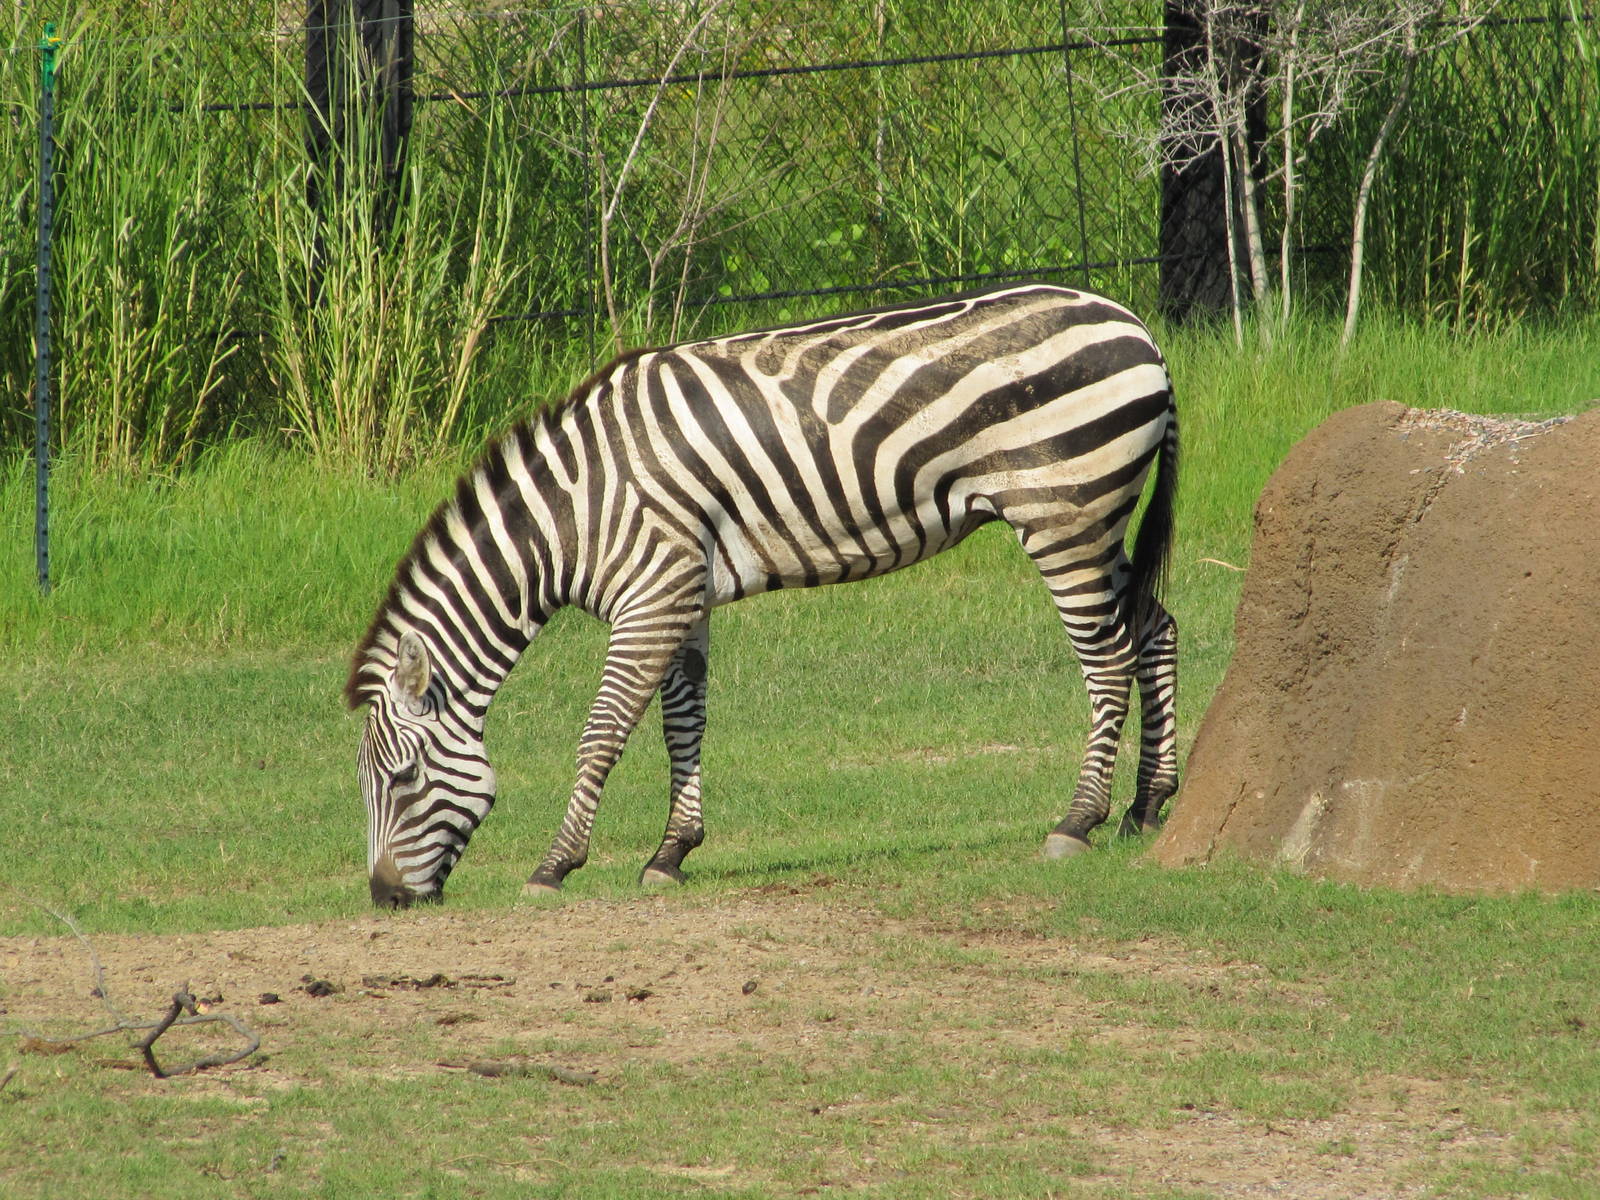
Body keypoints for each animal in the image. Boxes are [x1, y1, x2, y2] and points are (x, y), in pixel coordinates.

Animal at [346, 282, 1179, 908]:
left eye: (402, 778)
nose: (385, 899)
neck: (577, 510)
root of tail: (1135, 326)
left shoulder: (651, 596)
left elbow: (604, 731)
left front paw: (555, 864)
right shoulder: (683, 595)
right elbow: (683, 722)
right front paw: (671, 853)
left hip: (1063, 512)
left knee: (1107, 660)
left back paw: (1078, 821)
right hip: (1099, 515)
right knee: (1155, 629)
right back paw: (1147, 805)